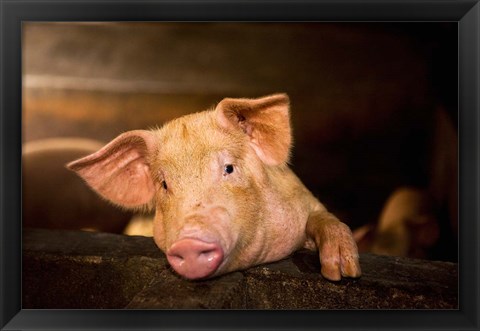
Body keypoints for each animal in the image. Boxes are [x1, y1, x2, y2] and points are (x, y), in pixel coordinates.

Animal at [66, 94, 360, 282]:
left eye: (228, 168)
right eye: (164, 184)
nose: (190, 243)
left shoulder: (304, 198)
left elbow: (324, 218)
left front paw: (343, 273)